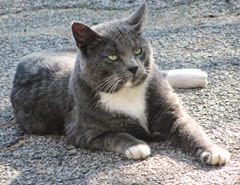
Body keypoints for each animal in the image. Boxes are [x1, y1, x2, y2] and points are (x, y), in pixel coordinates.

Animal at [10, 3, 230, 165]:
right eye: (112, 56)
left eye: (138, 51)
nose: (133, 67)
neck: (126, 91)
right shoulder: (81, 132)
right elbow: (117, 134)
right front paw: (137, 146)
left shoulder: (173, 113)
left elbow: (192, 130)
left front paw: (214, 151)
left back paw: (197, 75)